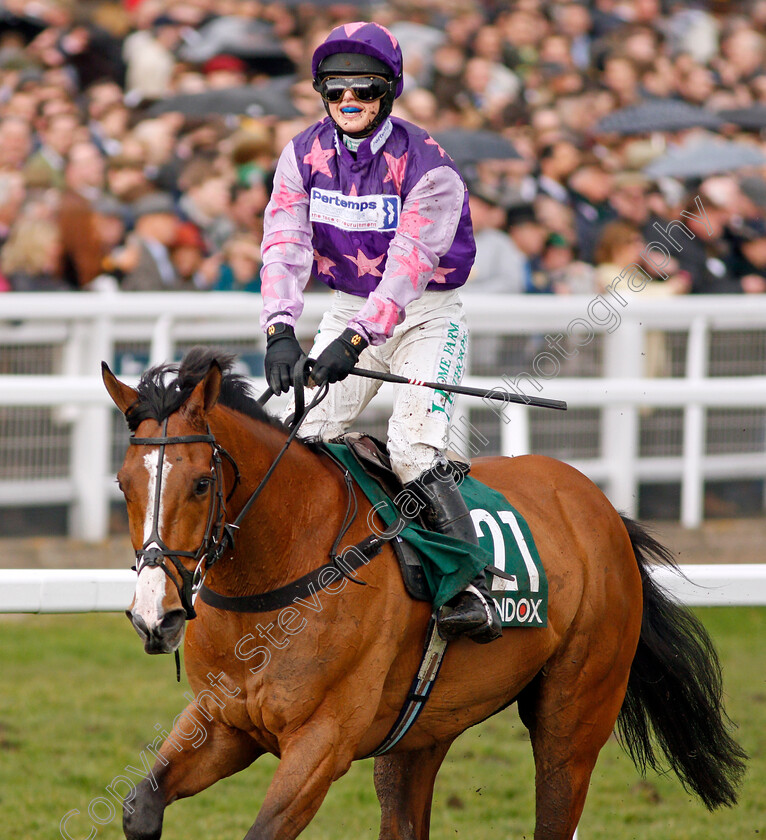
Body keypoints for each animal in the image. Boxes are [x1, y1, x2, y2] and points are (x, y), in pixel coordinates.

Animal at [100, 344, 744, 836]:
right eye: (124, 483)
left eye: (201, 483)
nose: (155, 617)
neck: (278, 570)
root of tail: (600, 505)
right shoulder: (224, 723)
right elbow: (140, 807)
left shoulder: (322, 741)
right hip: (422, 730)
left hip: (575, 714)